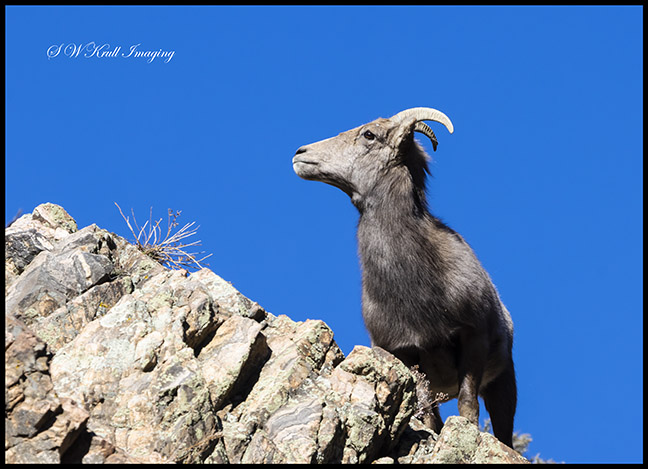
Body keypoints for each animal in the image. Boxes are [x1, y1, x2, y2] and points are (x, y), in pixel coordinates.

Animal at [292, 107, 517, 447]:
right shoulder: (408, 353)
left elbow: (467, 405)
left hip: (504, 383)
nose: (300, 154)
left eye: (369, 134)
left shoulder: (473, 339)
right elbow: (426, 413)